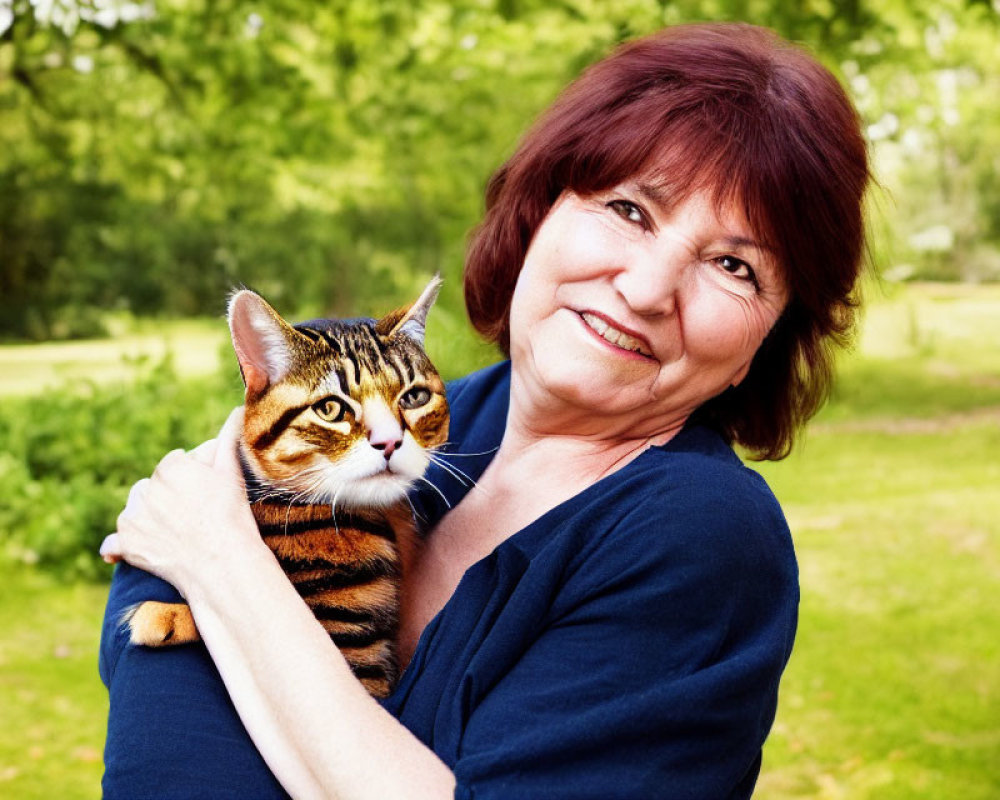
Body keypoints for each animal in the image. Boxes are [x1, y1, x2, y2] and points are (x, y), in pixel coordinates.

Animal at [126, 276, 450, 700]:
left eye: (414, 397)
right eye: (330, 409)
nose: (390, 442)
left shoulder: (355, 653)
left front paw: (167, 615)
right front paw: (168, 615)